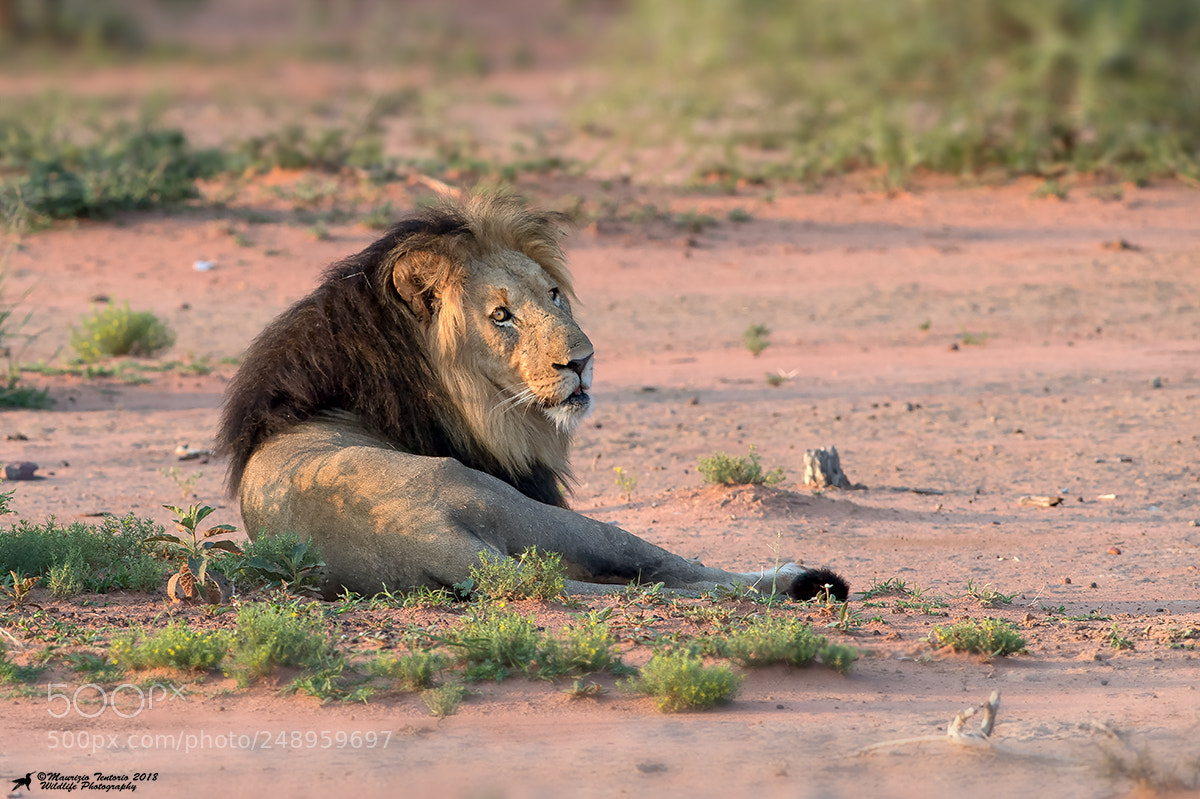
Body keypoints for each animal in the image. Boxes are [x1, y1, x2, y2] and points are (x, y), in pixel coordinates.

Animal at [216, 194, 848, 601]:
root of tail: (433, 543)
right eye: (501, 316)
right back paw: (796, 577)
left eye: (553, 295)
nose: (582, 361)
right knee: (664, 567)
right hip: (531, 511)